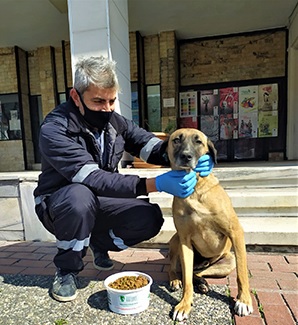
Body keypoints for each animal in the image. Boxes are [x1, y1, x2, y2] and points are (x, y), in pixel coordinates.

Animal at [166, 128, 253, 320]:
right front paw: (184, 304)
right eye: (176, 140)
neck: (194, 188)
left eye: (198, 141)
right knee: (179, 269)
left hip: (227, 262)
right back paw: (175, 279)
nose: (186, 156)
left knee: (196, 272)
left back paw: (202, 283)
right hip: (176, 240)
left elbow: (242, 272)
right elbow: (187, 281)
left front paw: (244, 300)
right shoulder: (184, 240)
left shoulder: (235, 232)